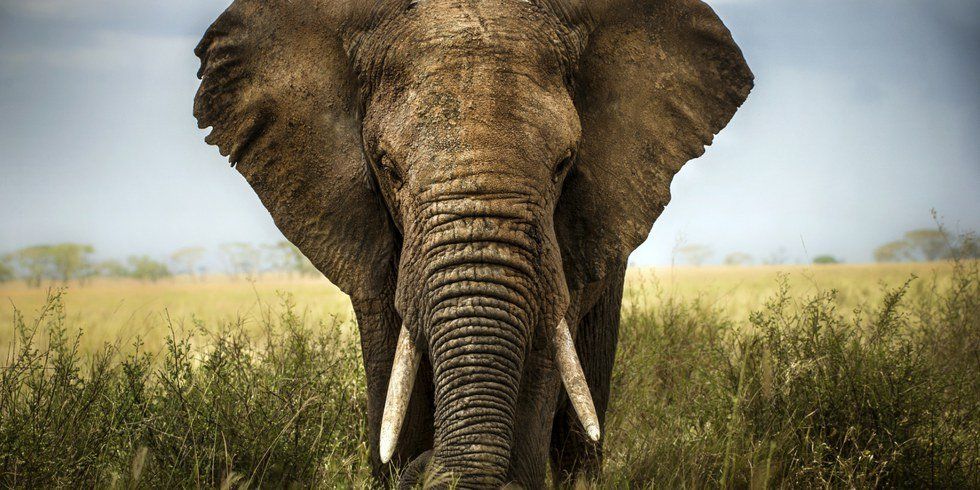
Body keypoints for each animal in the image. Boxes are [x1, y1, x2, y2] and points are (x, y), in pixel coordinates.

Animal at [193, 0, 752, 487]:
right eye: (388, 168)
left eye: (564, 164)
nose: (429, 466)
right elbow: (391, 367)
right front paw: (400, 462)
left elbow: (543, 358)